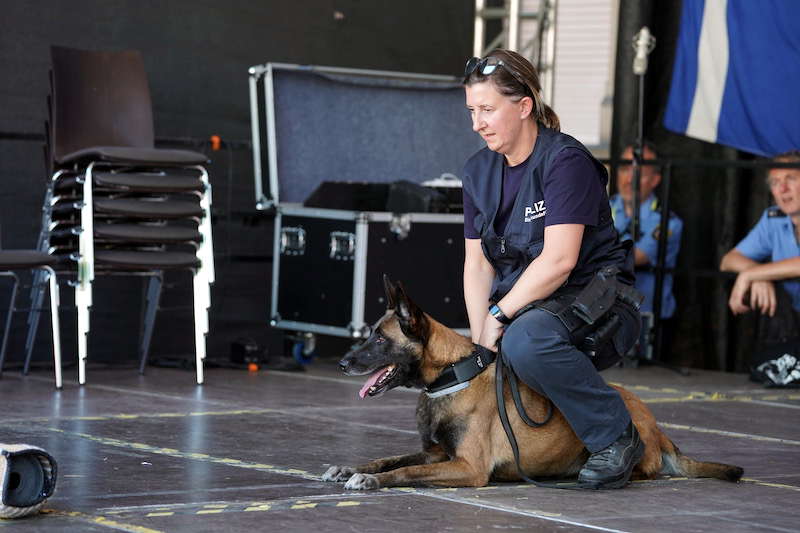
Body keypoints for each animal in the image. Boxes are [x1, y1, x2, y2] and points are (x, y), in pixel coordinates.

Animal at [324, 278, 744, 490]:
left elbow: (405, 471)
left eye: (380, 339)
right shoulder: (437, 456)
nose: (343, 363)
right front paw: (351, 468)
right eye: (370, 333)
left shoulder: (468, 468)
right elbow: (391, 458)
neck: (451, 378)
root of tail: (659, 429)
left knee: (646, 469)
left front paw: (370, 480)